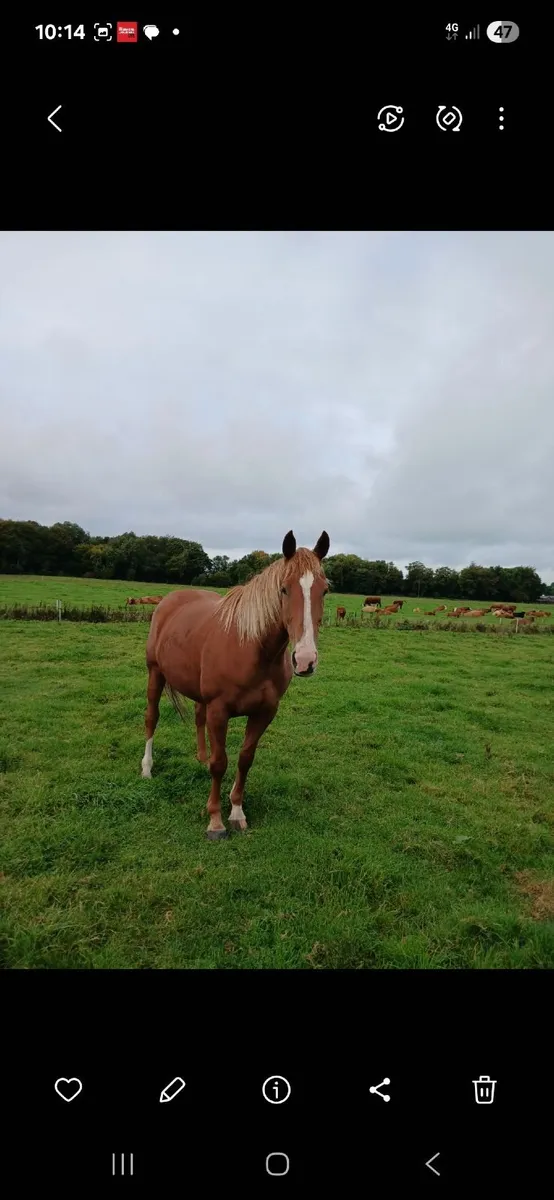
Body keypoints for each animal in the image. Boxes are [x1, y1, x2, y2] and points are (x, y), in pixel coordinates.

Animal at [141, 530, 330, 839]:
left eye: (324, 591)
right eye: (284, 589)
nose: (304, 660)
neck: (251, 649)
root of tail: (170, 600)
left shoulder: (265, 712)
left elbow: (245, 759)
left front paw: (237, 811)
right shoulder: (220, 711)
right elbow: (221, 763)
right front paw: (215, 821)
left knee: (198, 717)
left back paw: (200, 758)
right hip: (155, 673)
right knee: (151, 717)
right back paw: (146, 769)